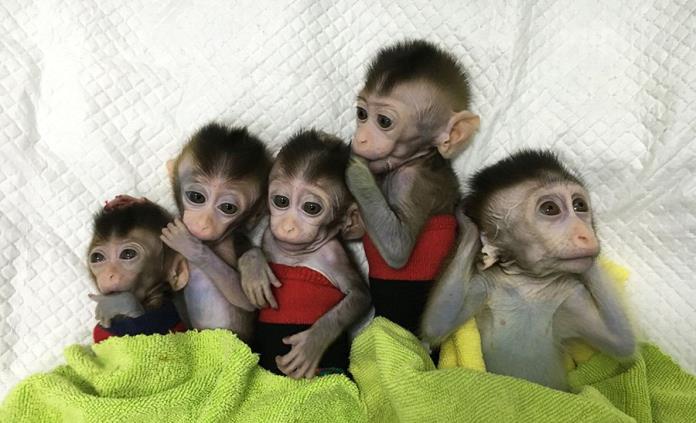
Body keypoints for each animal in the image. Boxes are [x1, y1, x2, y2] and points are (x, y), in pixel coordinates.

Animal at [252, 129, 371, 379]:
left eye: (311, 208)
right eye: (281, 201)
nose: (288, 226)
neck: (298, 256)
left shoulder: (335, 256)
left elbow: (360, 295)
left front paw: (313, 342)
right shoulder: (269, 236)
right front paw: (254, 271)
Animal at [344, 39, 480, 335]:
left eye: (384, 121)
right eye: (362, 114)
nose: (360, 139)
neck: (418, 157)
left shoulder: (411, 182)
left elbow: (398, 247)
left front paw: (355, 167)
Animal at [420, 150, 636, 391]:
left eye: (579, 205)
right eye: (550, 209)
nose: (585, 234)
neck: (528, 283)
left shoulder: (571, 294)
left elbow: (621, 341)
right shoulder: (483, 284)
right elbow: (437, 324)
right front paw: (467, 223)